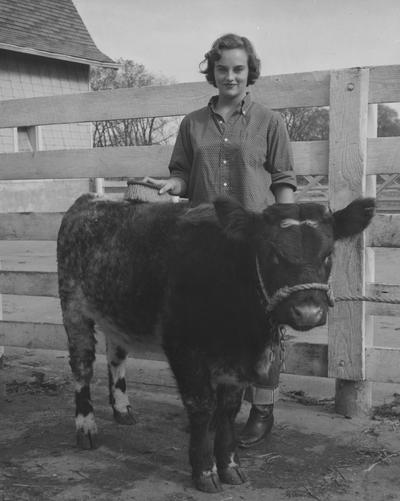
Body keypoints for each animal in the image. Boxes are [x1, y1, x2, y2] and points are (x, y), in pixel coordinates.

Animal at [57, 193, 376, 490]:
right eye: (272, 252)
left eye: (328, 254)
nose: (308, 312)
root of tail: (92, 200)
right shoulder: (183, 347)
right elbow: (202, 406)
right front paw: (204, 471)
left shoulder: (239, 362)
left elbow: (228, 409)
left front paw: (230, 466)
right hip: (73, 306)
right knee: (82, 366)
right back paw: (86, 427)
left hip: (116, 312)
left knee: (116, 356)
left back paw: (122, 409)